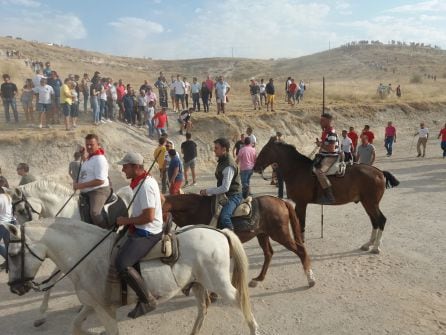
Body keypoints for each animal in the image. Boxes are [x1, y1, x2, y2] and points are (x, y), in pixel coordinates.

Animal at [3, 219, 260, 334]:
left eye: (14, 254)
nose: (15, 288)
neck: (87, 255)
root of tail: (219, 231)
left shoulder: (105, 309)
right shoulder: (92, 305)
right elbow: (76, 326)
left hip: (220, 284)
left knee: (241, 302)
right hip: (197, 284)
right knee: (203, 308)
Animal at [162, 194, 316, 288]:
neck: (197, 210)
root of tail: (282, 201)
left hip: (280, 234)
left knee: (300, 250)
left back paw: (310, 279)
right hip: (262, 235)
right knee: (269, 254)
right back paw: (258, 279)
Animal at [254, 139, 400, 255]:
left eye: (264, 151)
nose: (255, 167)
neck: (297, 170)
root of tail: (379, 172)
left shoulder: (301, 203)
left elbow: (301, 223)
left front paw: (300, 242)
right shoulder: (299, 204)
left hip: (371, 203)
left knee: (381, 220)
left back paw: (376, 247)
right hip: (367, 203)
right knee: (374, 221)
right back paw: (368, 244)